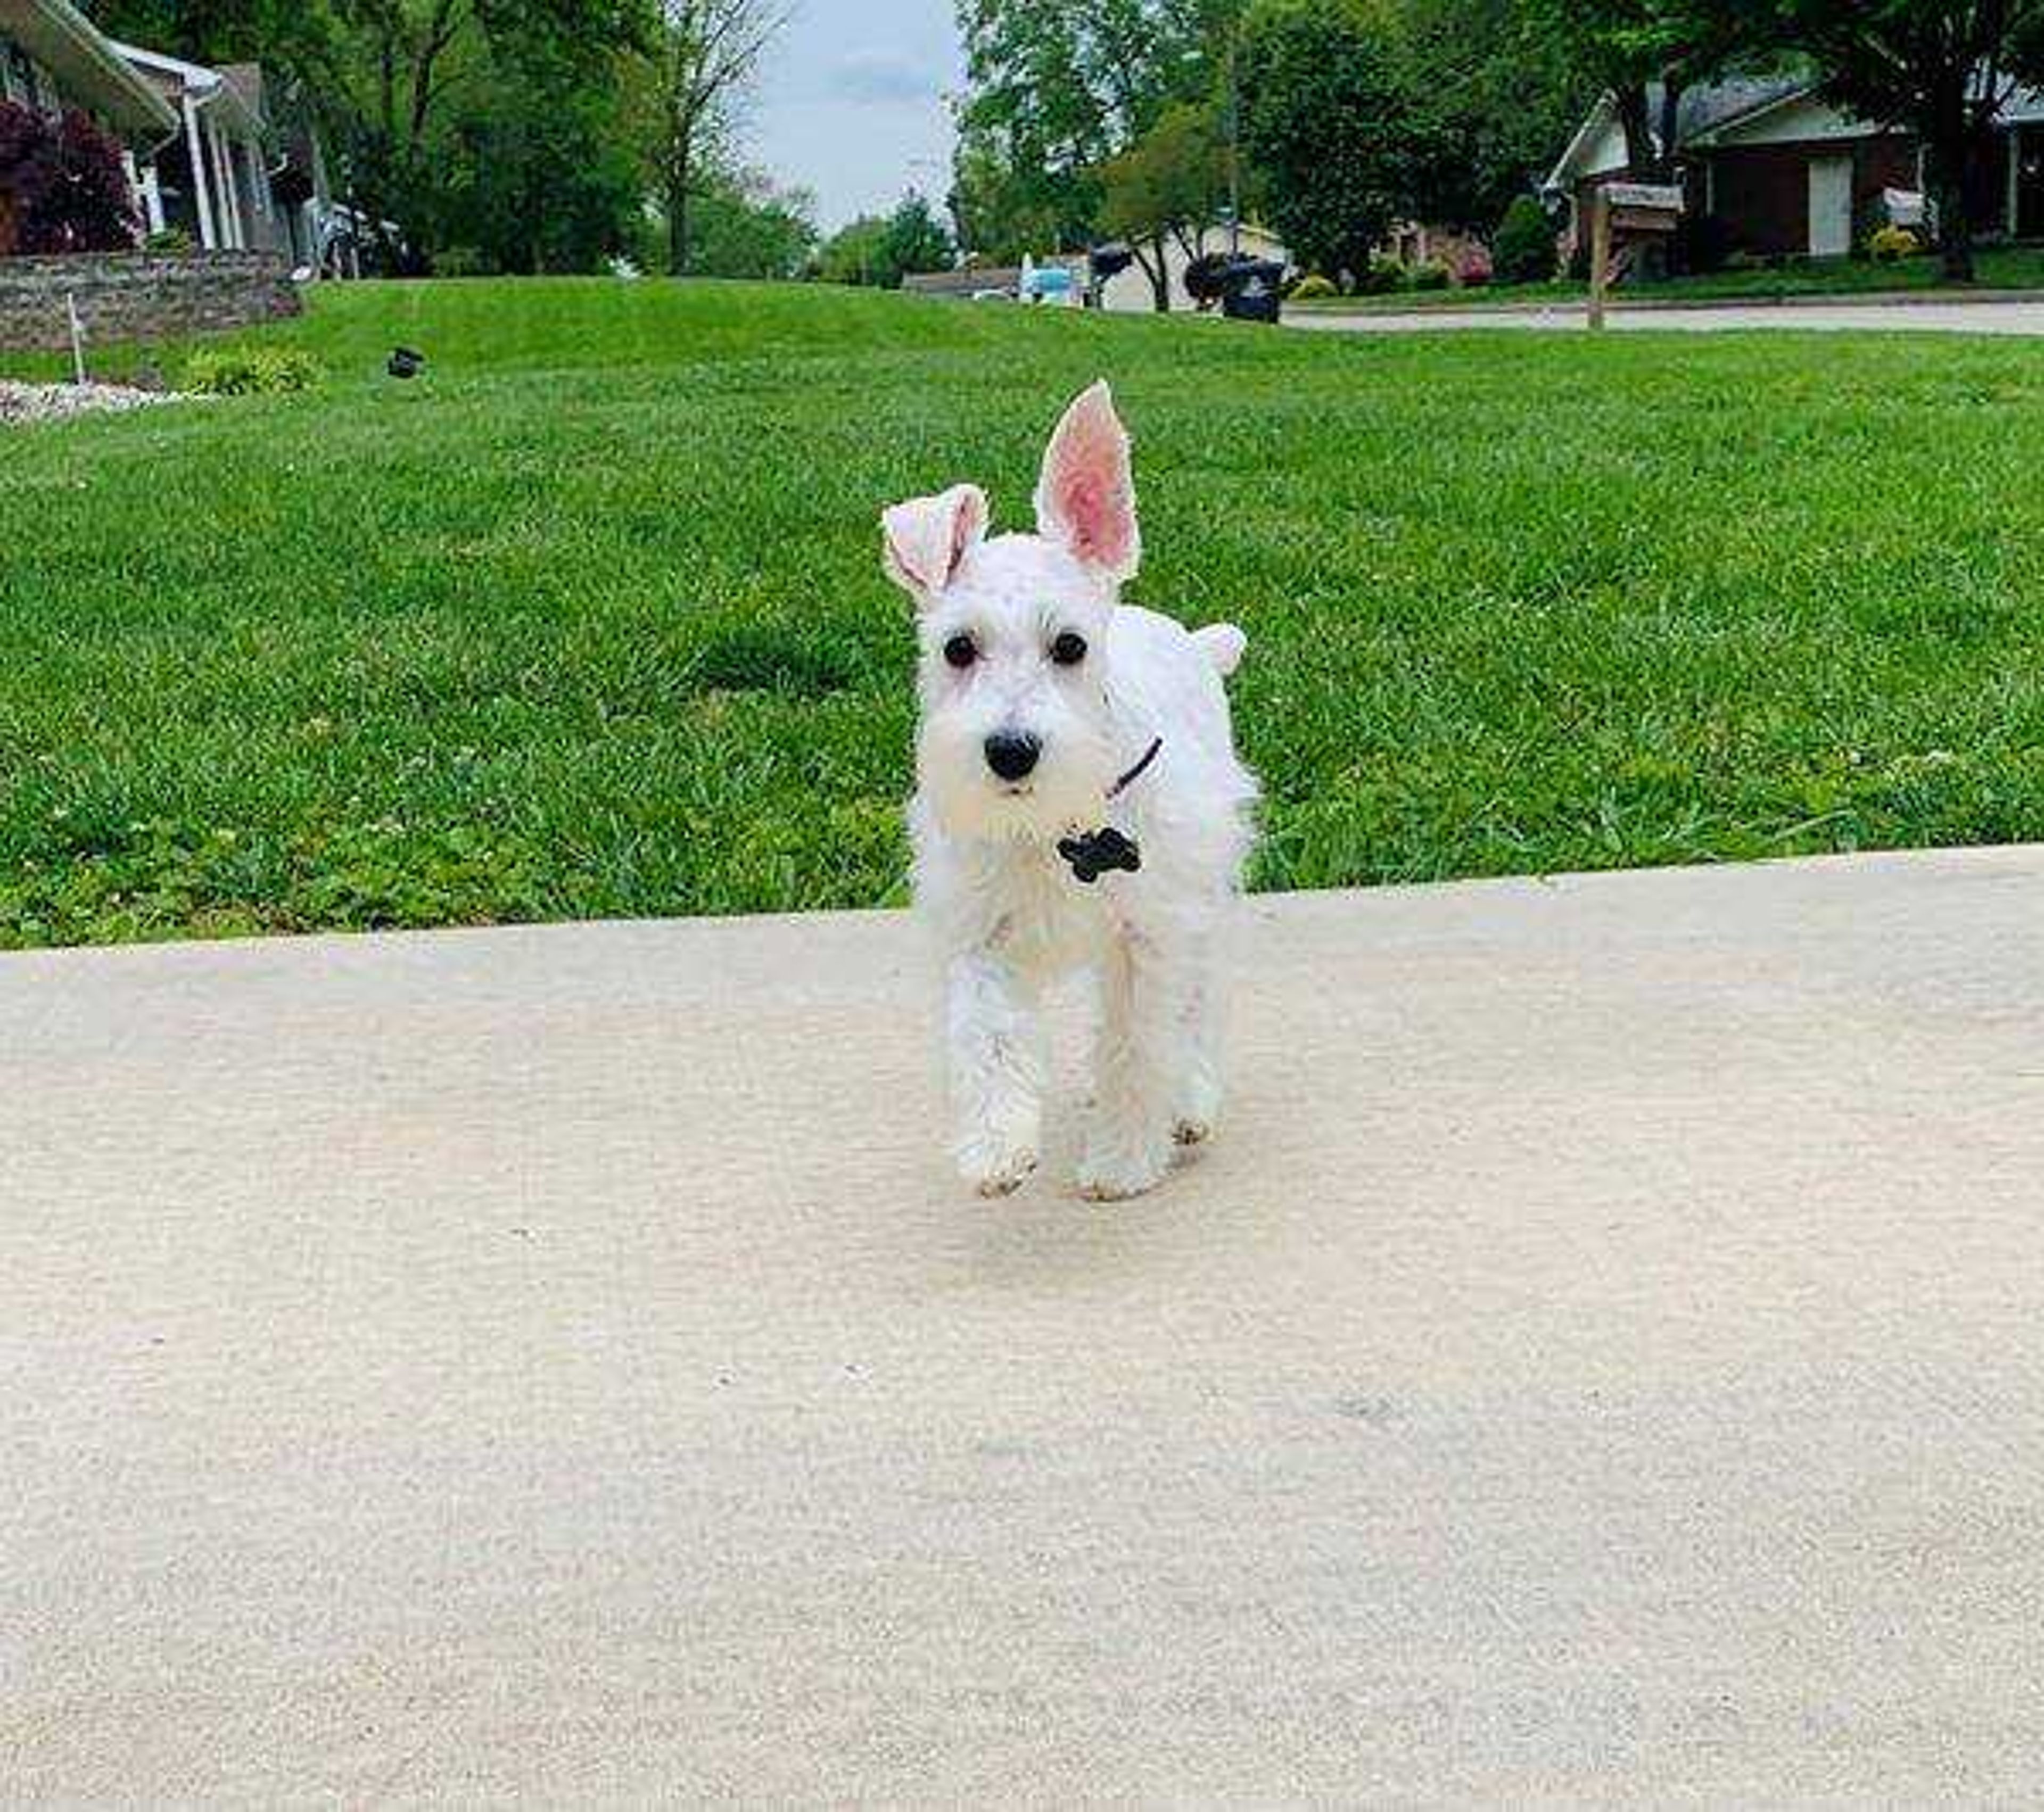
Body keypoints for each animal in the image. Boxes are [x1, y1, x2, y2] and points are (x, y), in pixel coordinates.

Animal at [883, 382, 1251, 1201]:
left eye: (1071, 647)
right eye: (958, 648)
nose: (1010, 752)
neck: (1058, 829)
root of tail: (1193, 641)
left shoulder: (1150, 937)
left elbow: (1139, 1049)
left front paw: (1122, 1160)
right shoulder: (980, 931)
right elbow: (985, 1036)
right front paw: (996, 1145)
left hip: (1203, 901)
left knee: (1197, 1005)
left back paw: (1190, 1102)